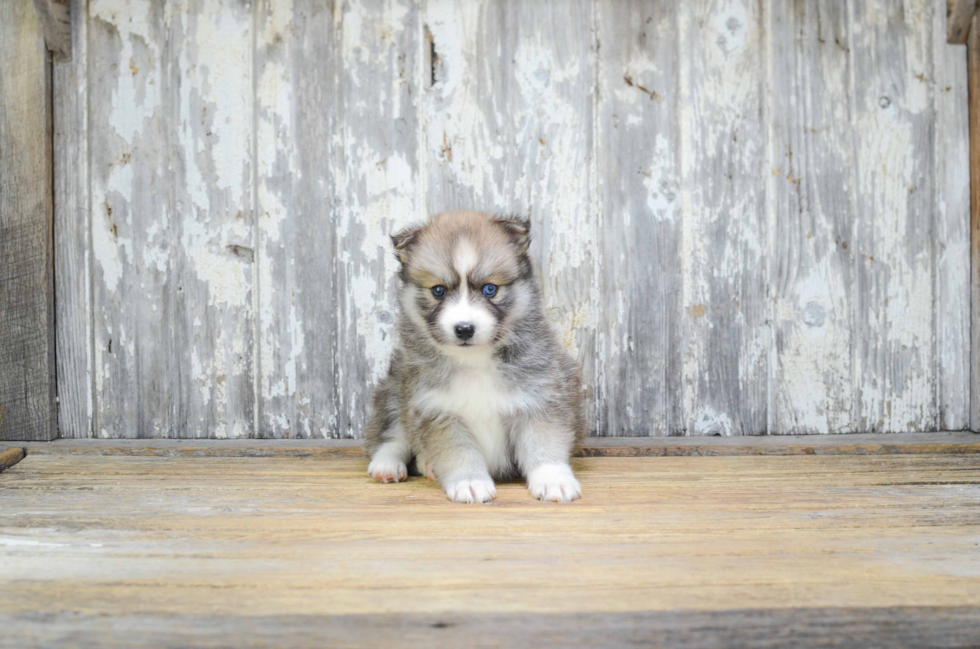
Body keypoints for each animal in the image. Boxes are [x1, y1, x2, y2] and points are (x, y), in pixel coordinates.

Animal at [366, 210, 580, 504]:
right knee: (392, 434)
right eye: (439, 290)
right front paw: (470, 482)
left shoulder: (540, 397)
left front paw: (553, 479)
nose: (465, 328)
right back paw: (388, 465)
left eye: (490, 289)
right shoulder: (436, 409)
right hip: (394, 390)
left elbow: (543, 442)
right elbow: (457, 452)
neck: (476, 360)